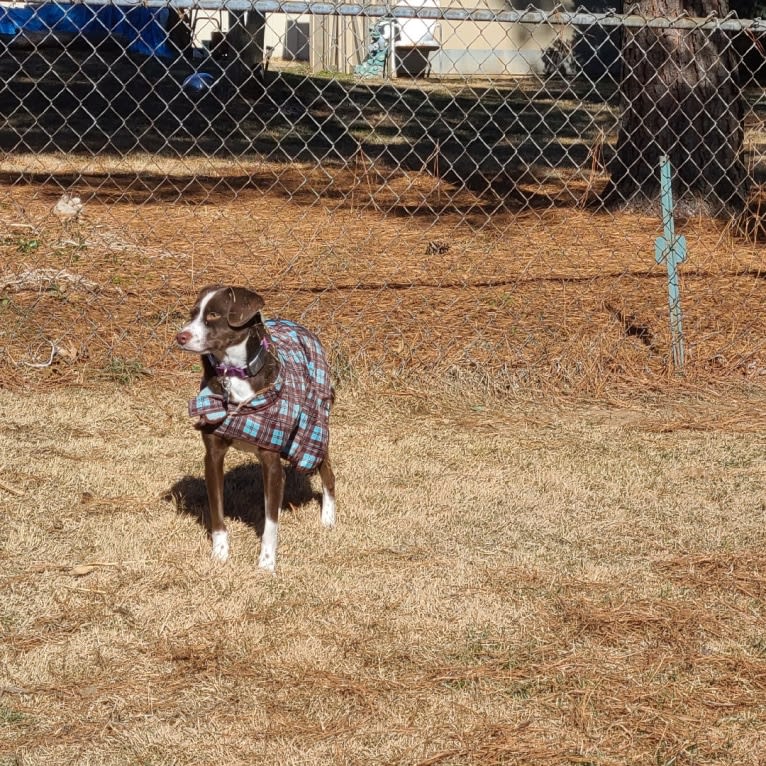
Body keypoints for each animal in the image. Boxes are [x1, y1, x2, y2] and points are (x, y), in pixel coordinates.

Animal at [180, 286, 340, 568]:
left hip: (315, 428)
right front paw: (220, 554)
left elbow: (271, 523)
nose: (181, 336)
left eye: (213, 314)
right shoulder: (213, 456)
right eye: (193, 313)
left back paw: (328, 520)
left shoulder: (271, 461)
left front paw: (266, 564)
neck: (235, 375)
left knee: (328, 474)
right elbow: (217, 512)